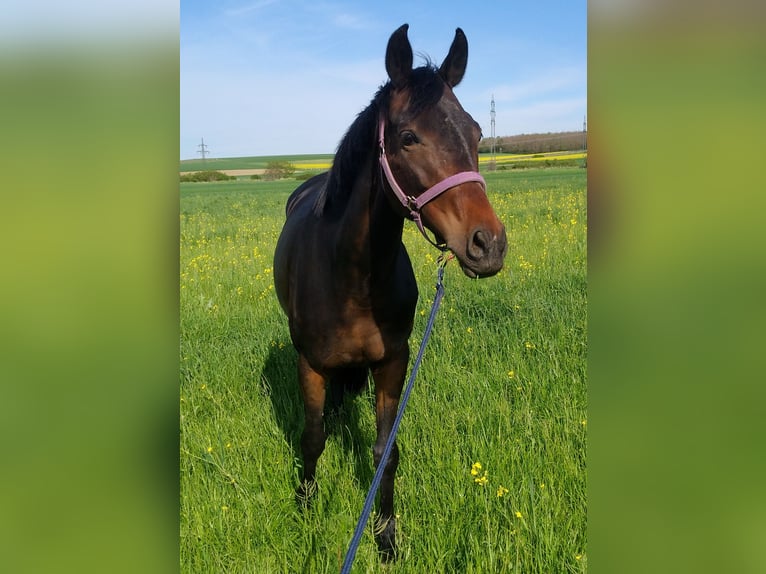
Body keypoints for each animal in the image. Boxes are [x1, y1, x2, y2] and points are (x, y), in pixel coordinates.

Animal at [273, 24, 507, 559]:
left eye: (477, 133)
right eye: (407, 137)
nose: (488, 244)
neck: (352, 275)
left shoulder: (393, 361)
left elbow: (386, 451)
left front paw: (385, 536)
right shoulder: (308, 362)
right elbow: (312, 436)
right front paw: (306, 503)